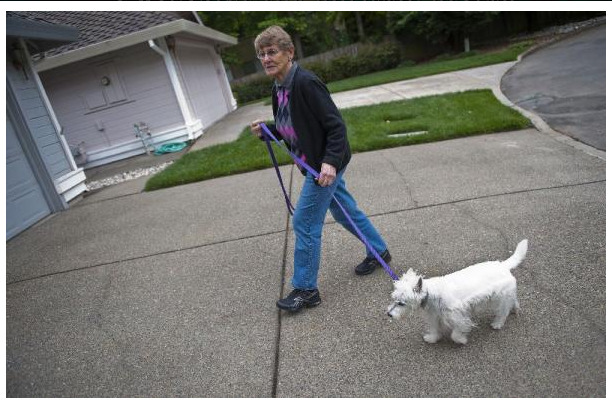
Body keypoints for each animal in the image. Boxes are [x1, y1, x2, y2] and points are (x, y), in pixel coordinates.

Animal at [387, 239, 528, 345]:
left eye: (401, 303)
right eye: (394, 299)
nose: (389, 314)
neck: (431, 294)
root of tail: (503, 265)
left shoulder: (458, 317)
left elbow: (456, 333)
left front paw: (461, 340)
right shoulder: (434, 315)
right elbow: (434, 329)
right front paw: (432, 338)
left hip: (501, 298)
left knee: (503, 311)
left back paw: (497, 324)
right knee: (513, 301)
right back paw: (516, 309)